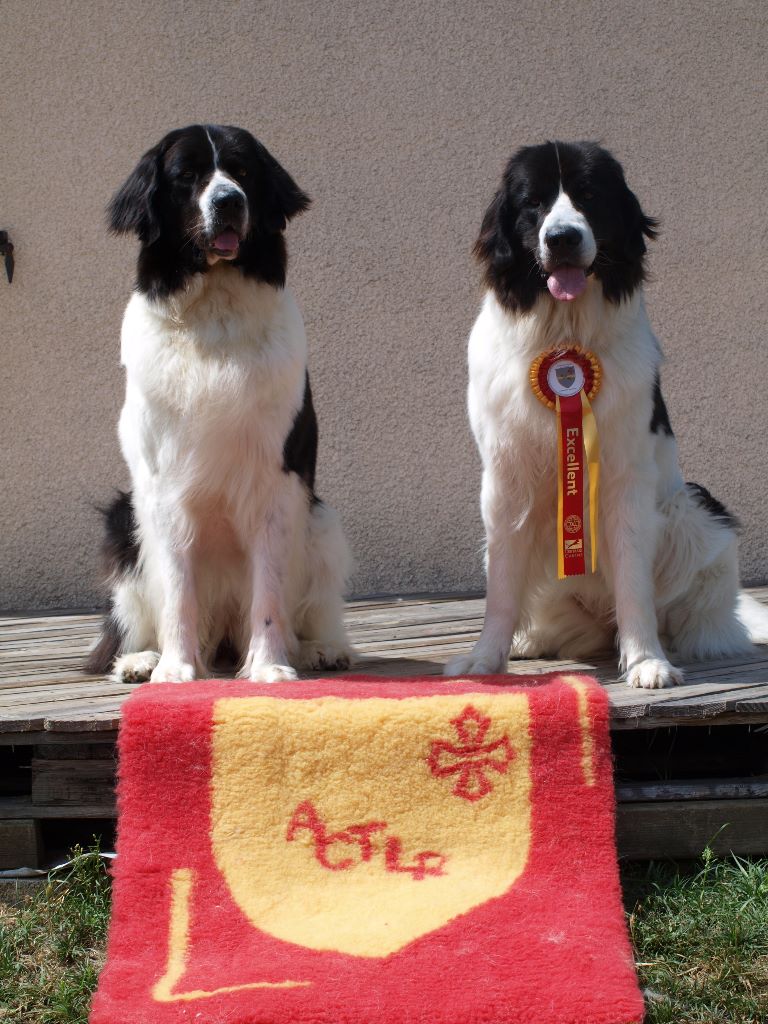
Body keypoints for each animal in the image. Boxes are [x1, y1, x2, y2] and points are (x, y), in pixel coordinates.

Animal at [85, 123, 354, 684]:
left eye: (243, 171)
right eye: (187, 175)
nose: (228, 200)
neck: (215, 309)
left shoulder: (276, 481)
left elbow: (269, 590)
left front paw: (270, 667)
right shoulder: (164, 488)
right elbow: (178, 591)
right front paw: (176, 669)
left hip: (323, 522)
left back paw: (319, 648)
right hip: (122, 523)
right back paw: (139, 660)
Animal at [444, 142, 768, 688]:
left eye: (590, 196)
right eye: (533, 202)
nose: (562, 237)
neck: (563, 334)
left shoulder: (625, 478)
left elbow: (633, 581)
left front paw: (646, 662)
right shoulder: (505, 478)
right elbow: (502, 587)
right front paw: (485, 658)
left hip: (695, 511)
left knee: (697, 617)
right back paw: (531, 640)